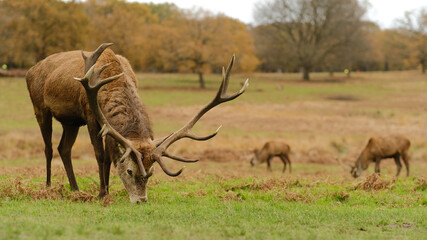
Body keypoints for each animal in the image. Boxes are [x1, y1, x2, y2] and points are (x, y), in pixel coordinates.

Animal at [25, 43, 247, 202]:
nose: (141, 200)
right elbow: (100, 155)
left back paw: (75, 189)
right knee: (48, 148)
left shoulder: (107, 127)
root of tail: (30, 70)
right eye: (130, 171)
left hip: (70, 121)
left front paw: (107, 191)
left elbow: (109, 156)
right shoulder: (91, 115)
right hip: (40, 107)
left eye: (151, 172)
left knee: (64, 148)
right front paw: (102, 193)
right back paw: (48, 187)